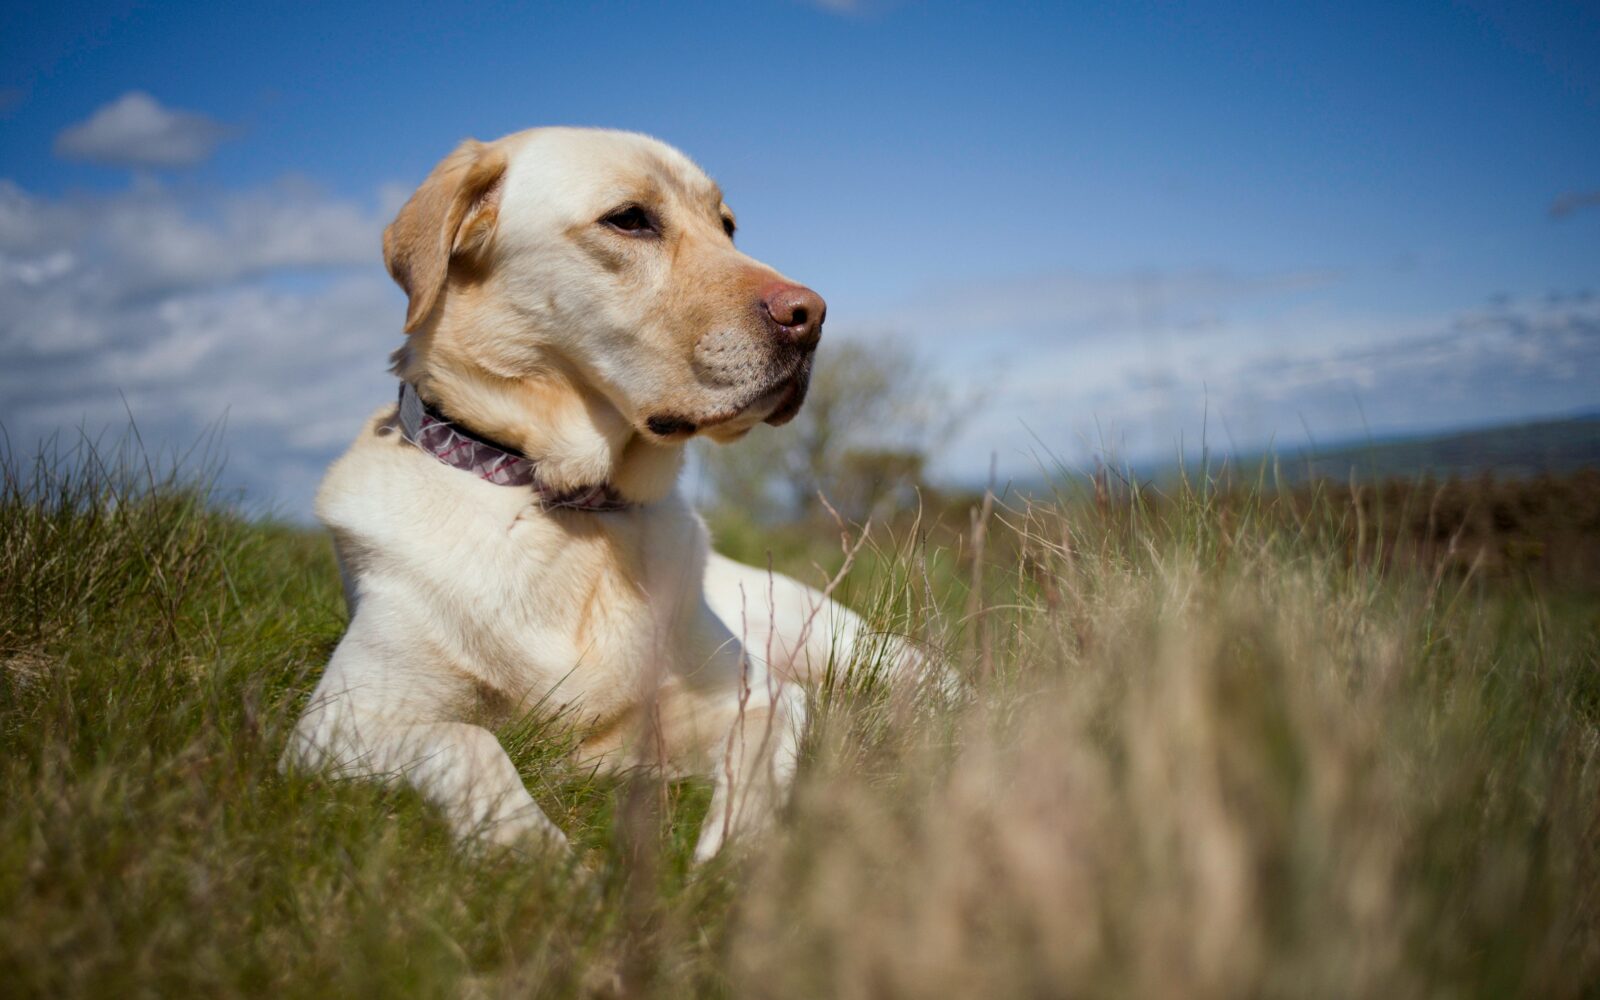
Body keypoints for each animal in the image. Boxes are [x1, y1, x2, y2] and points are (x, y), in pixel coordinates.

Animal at [281, 124, 870, 857]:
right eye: (630, 219)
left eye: (727, 225)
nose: (811, 314)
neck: (572, 504)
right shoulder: (338, 721)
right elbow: (470, 742)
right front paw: (533, 853)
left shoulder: (764, 695)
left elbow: (759, 753)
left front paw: (734, 855)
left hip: (836, 641)